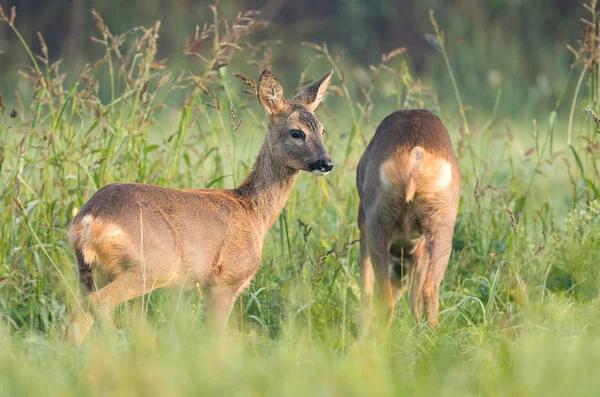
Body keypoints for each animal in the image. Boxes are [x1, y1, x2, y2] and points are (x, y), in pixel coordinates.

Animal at [69, 69, 338, 342]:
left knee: (78, 315)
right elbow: (217, 336)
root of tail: (90, 219)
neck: (254, 212)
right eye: (296, 132)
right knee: (99, 303)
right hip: (152, 265)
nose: (327, 163)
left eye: (322, 130)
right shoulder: (226, 278)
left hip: (88, 270)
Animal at [356, 108, 460, 328]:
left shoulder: (364, 228)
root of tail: (416, 155)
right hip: (441, 230)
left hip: (377, 225)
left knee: (384, 296)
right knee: (429, 290)